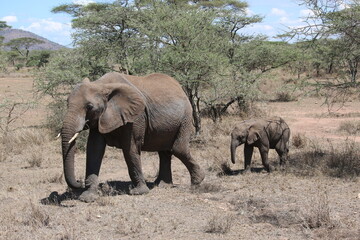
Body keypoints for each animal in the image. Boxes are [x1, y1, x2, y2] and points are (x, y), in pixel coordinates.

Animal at [62, 71, 205, 202]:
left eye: (90, 107)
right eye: (67, 103)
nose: (79, 182)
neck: (101, 84)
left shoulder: (136, 117)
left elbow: (130, 149)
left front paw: (139, 192)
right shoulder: (100, 118)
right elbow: (94, 149)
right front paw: (87, 197)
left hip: (185, 117)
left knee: (178, 149)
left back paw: (197, 182)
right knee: (164, 152)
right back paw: (162, 185)